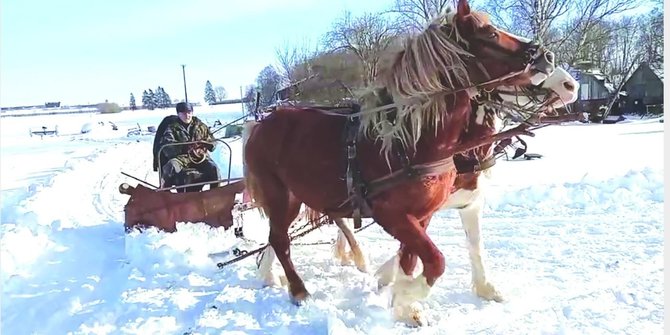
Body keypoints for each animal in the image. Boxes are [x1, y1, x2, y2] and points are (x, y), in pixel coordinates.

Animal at [244, 0, 560, 326]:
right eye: (491, 34)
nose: (546, 57)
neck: (412, 141)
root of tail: (262, 123)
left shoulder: (422, 215)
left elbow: (410, 259)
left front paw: (405, 304)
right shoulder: (391, 215)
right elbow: (435, 261)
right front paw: (406, 295)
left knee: (278, 238)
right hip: (280, 195)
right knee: (280, 240)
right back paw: (298, 290)